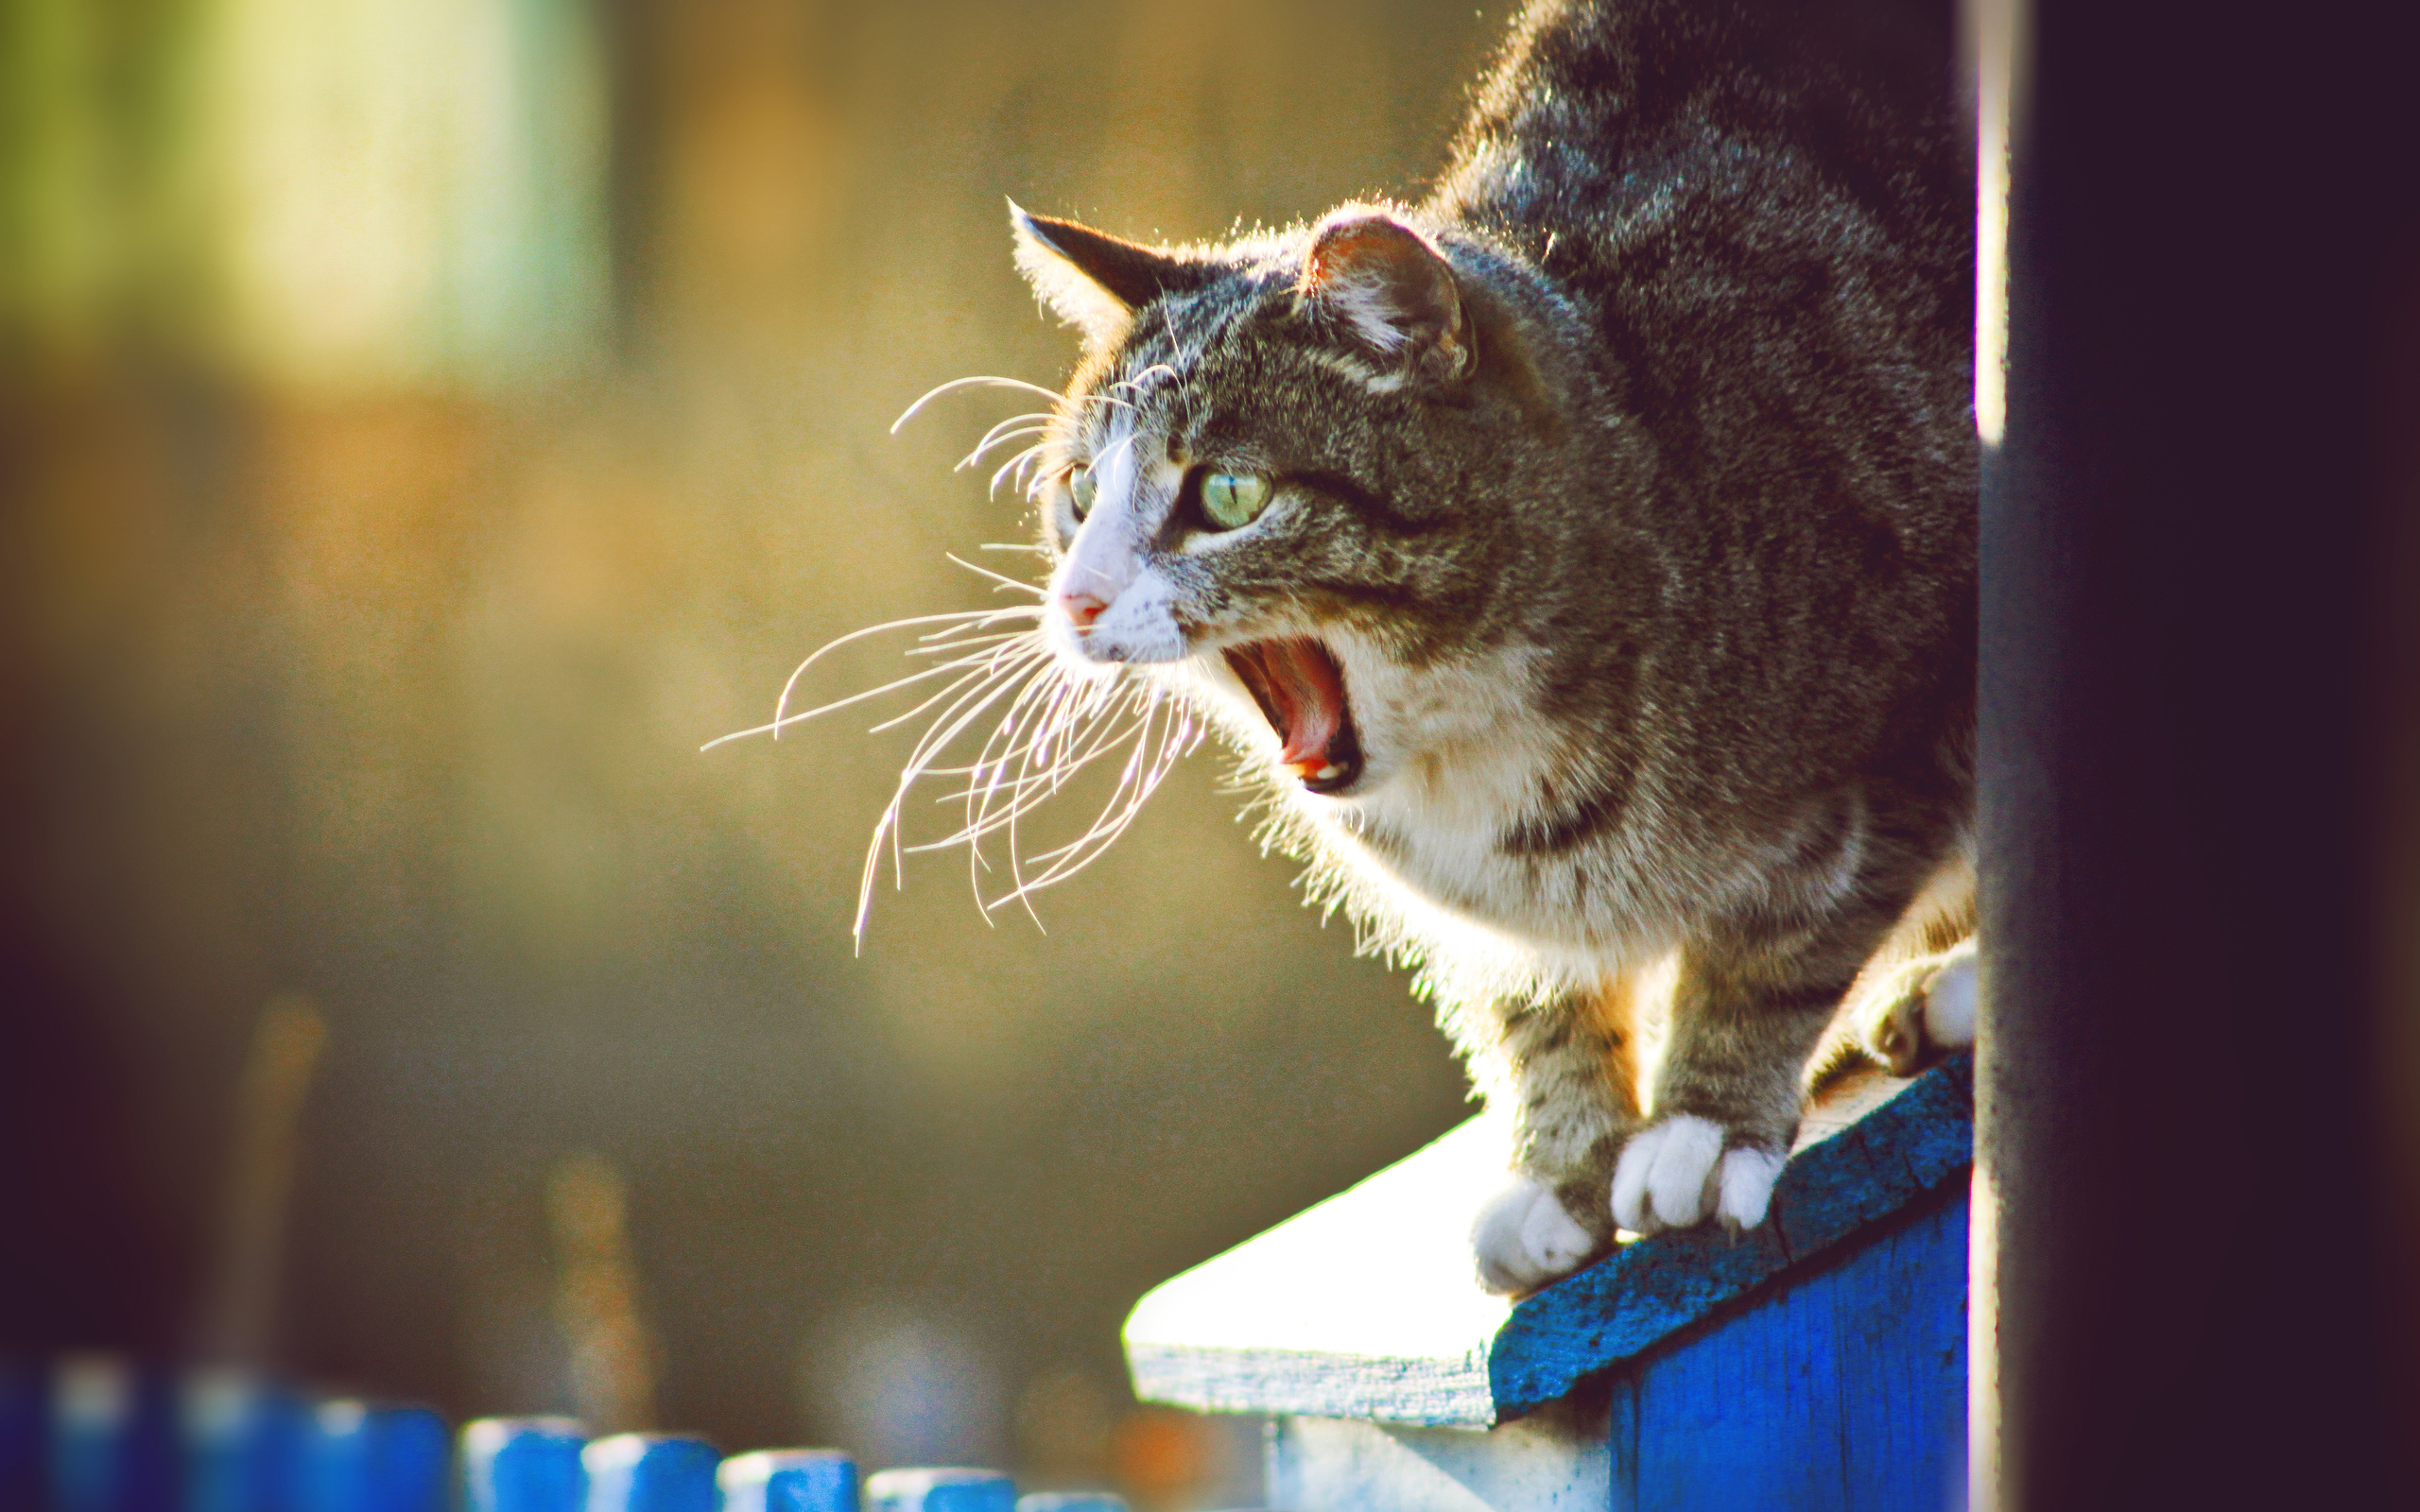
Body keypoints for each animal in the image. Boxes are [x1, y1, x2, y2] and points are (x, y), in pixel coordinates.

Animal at [943, 0, 1964, 1286]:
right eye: (1078, 493)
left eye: (1226, 494)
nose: (1075, 601)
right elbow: (1529, 993)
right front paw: (1560, 1166)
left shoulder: (1902, 727)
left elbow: (1788, 933)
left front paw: (1701, 1122)